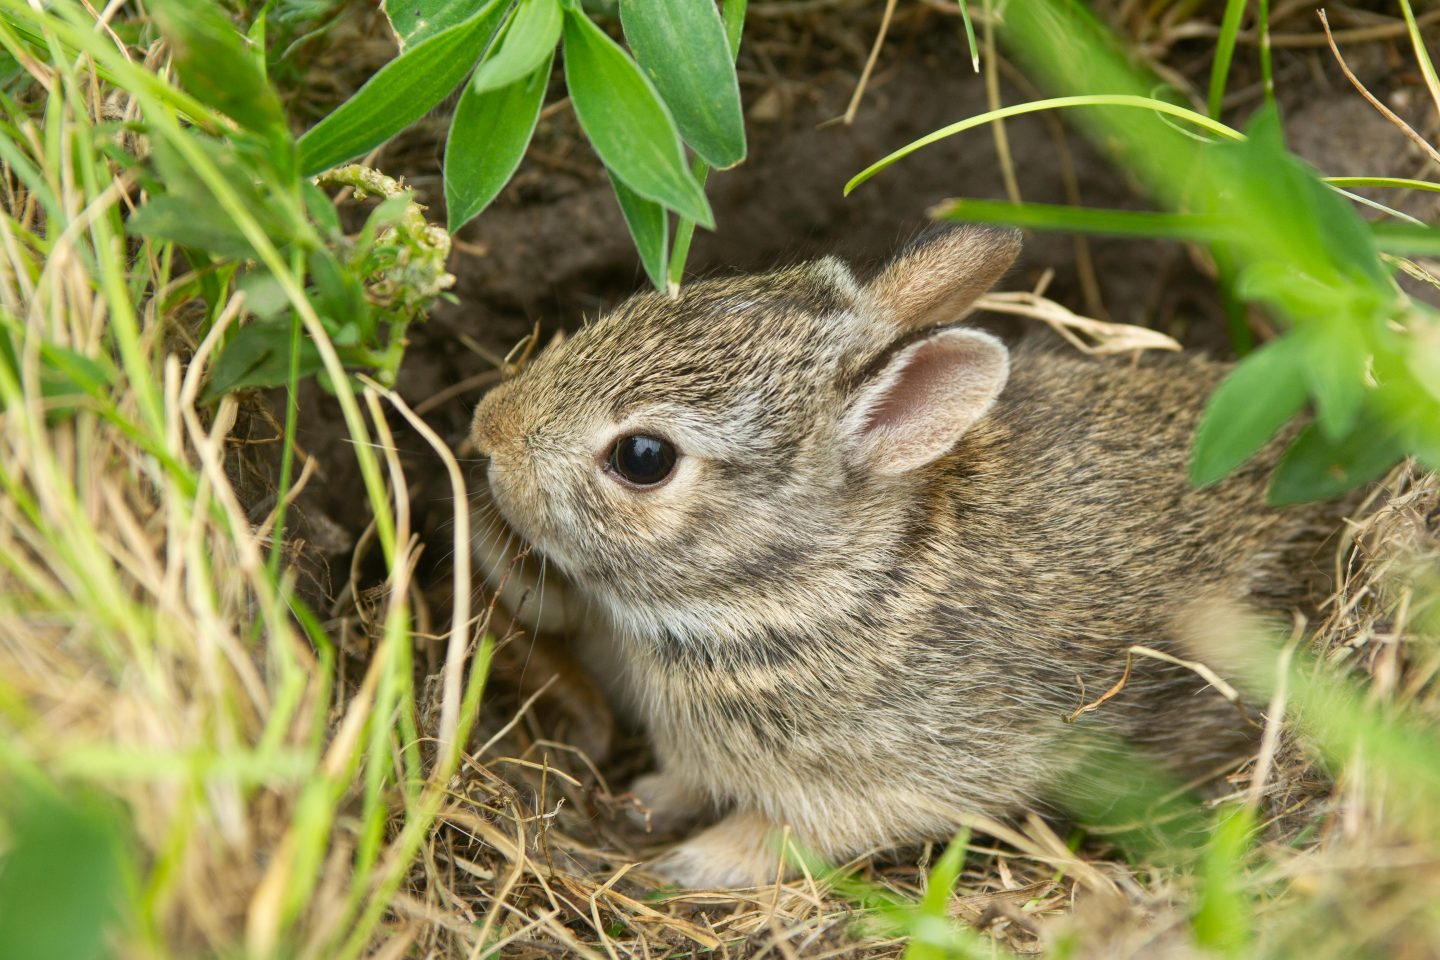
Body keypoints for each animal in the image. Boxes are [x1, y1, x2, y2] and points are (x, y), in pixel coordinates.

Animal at [466, 228, 1342, 892]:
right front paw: (650, 800)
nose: (488, 429)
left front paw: (693, 863)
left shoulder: (884, 777)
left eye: (642, 458)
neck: (818, 583)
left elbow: (781, 832)